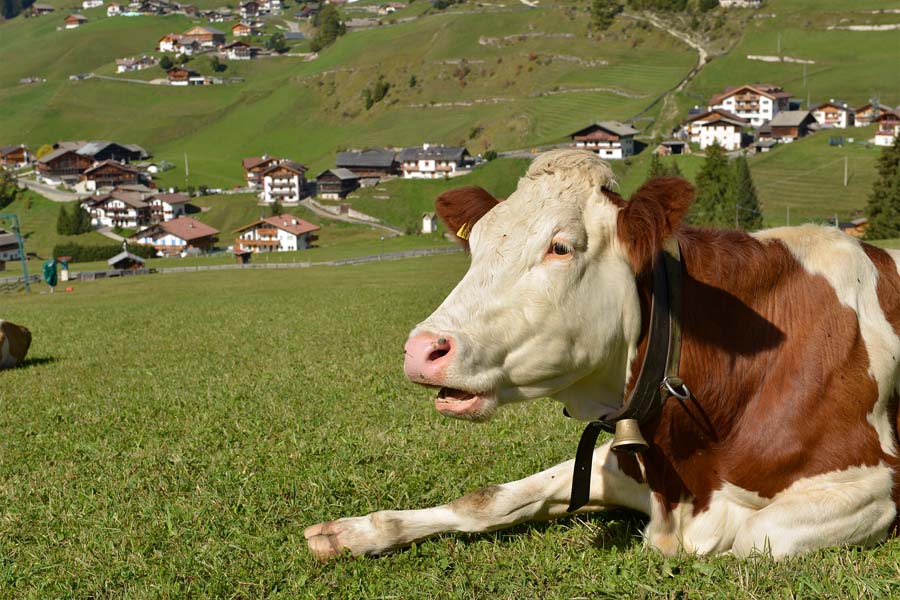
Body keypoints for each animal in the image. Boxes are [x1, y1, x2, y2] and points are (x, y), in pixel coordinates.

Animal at [305, 149, 900, 561]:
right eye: (475, 247)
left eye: (560, 247)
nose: (421, 349)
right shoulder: (627, 460)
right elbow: (486, 498)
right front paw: (353, 532)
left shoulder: (875, 484)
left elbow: (754, 534)